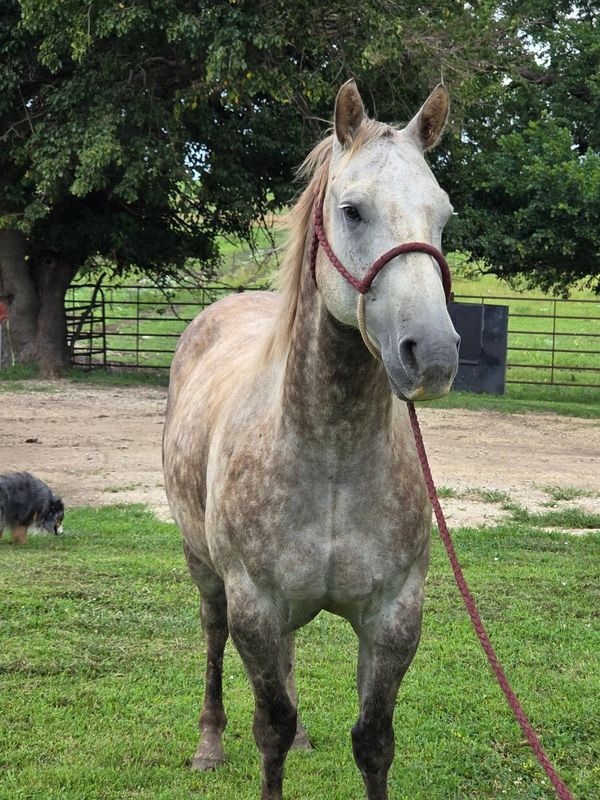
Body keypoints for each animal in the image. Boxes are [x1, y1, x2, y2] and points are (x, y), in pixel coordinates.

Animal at [163, 80, 460, 800]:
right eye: (352, 211)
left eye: (443, 215)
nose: (433, 354)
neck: (331, 455)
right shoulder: (255, 605)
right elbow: (268, 730)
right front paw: (256, 743)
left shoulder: (393, 616)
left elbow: (373, 741)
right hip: (207, 574)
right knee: (212, 640)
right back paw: (209, 743)